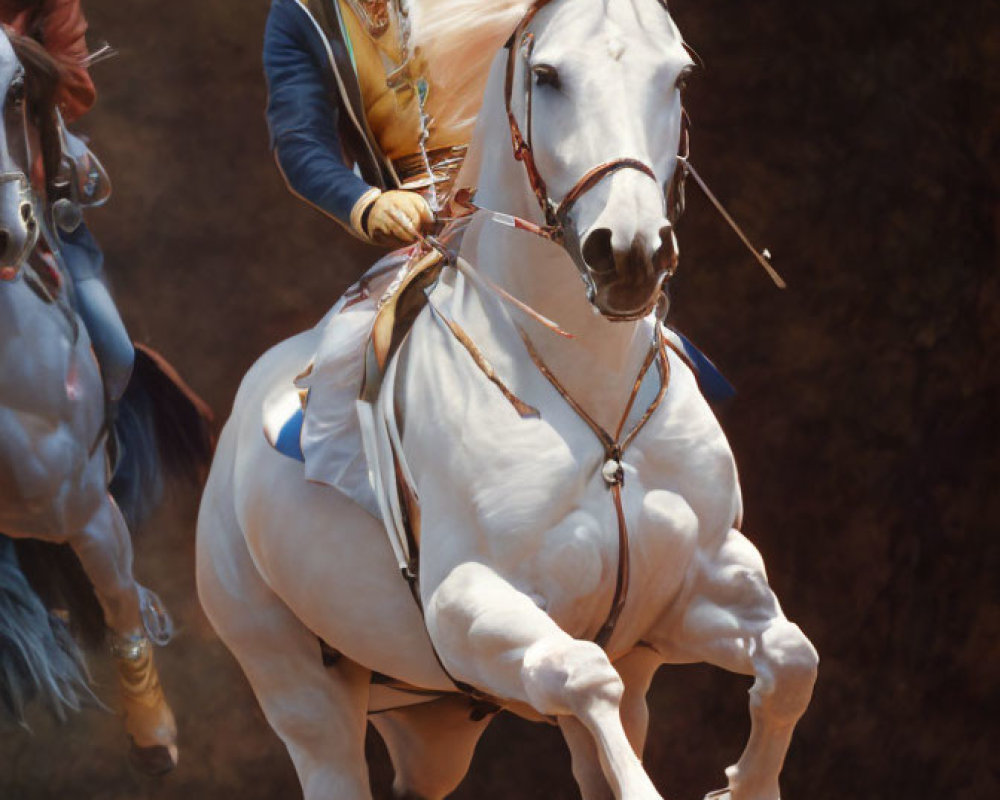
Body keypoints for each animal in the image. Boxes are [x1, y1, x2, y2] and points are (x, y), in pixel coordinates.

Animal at [199, 0, 816, 796]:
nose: (631, 254)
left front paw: (747, 781)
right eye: (546, 75)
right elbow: (584, 676)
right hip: (297, 682)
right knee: (326, 738)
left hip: (435, 724)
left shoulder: (701, 584)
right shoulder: (468, 606)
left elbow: (791, 658)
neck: (592, 404)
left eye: (679, 74)